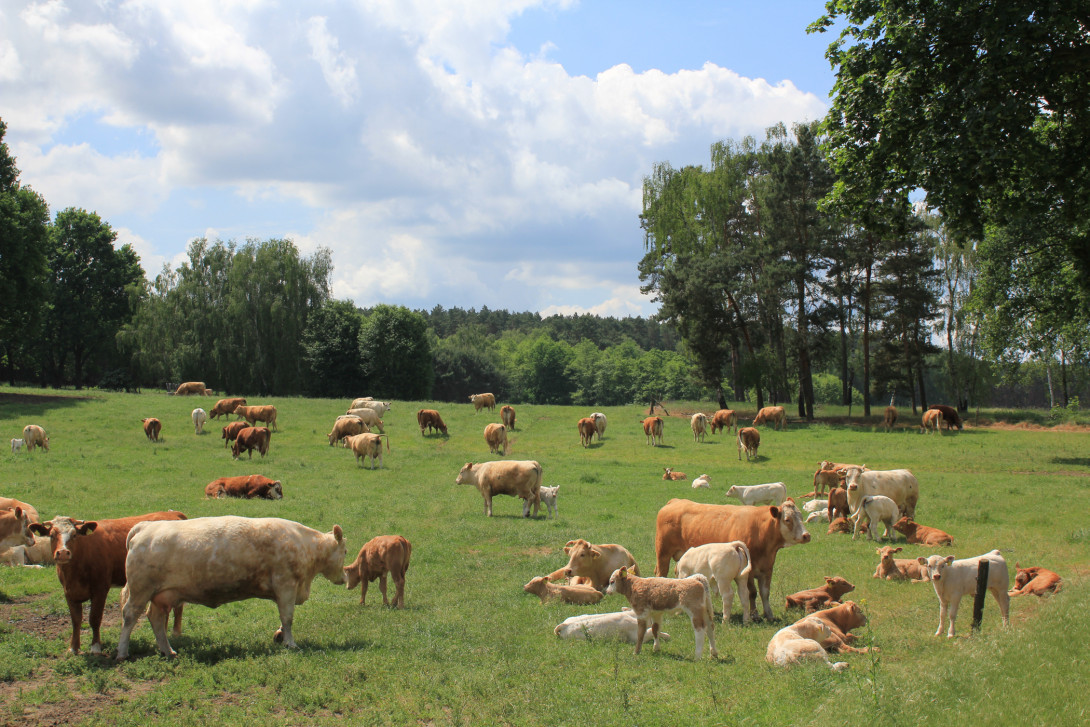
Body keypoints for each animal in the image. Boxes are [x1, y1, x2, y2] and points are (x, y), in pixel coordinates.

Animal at [30, 511, 187, 655]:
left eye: (74, 535)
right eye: (51, 535)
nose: (63, 553)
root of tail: (172, 513)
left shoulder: (100, 589)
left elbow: (95, 618)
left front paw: (95, 647)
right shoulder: (69, 592)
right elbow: (76, 620)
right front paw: (73, 648)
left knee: (178, 607)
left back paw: (175, 633)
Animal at [115, 516, 347, 659]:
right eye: (345, 550)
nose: (344, 577)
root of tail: (145, 526)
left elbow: (284, 619)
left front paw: (279, 635)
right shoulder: (286, 585)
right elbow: (287, 618)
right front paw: (290, 643)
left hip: (161, 596)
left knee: (155, 619)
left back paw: (168, 651)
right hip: (140, 590)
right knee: (130, 616)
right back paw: (122, 652)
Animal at [654, 498, 811, 621]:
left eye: (801, 517)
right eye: (787, 519)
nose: (806, 535)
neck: (760, 531)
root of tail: (675, 501)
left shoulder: (767, 570)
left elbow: (765, 593)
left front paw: (769, 614)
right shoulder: (749, 572)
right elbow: (752, 593)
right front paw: (754, 615)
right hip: (663, 555)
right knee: (661, 574)